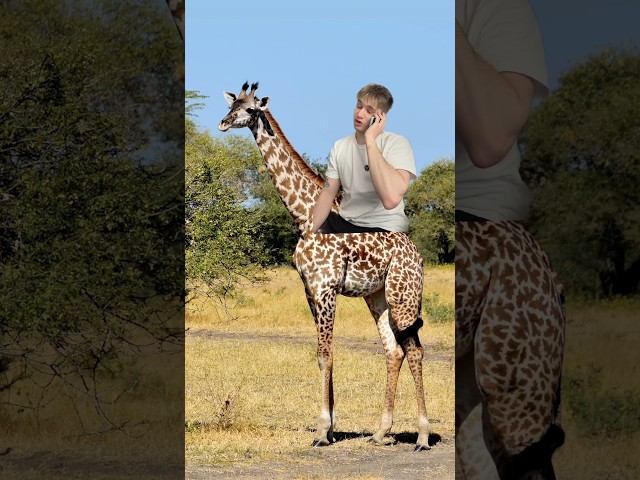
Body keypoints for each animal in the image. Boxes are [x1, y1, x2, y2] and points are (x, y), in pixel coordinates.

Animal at [218, 82, 431, 451]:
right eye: (233, 105)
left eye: (250, 109)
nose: (223, 122)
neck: (303, 215)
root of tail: (416, 255)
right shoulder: (309, 289)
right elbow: (323, 353)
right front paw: (329, 429)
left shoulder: (326, 287)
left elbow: (325, 353)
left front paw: (321, 431)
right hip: (377, 297)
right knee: (393, 350)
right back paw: (381, 432)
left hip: (403, 295)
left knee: (414, 350)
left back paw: (422, 435)